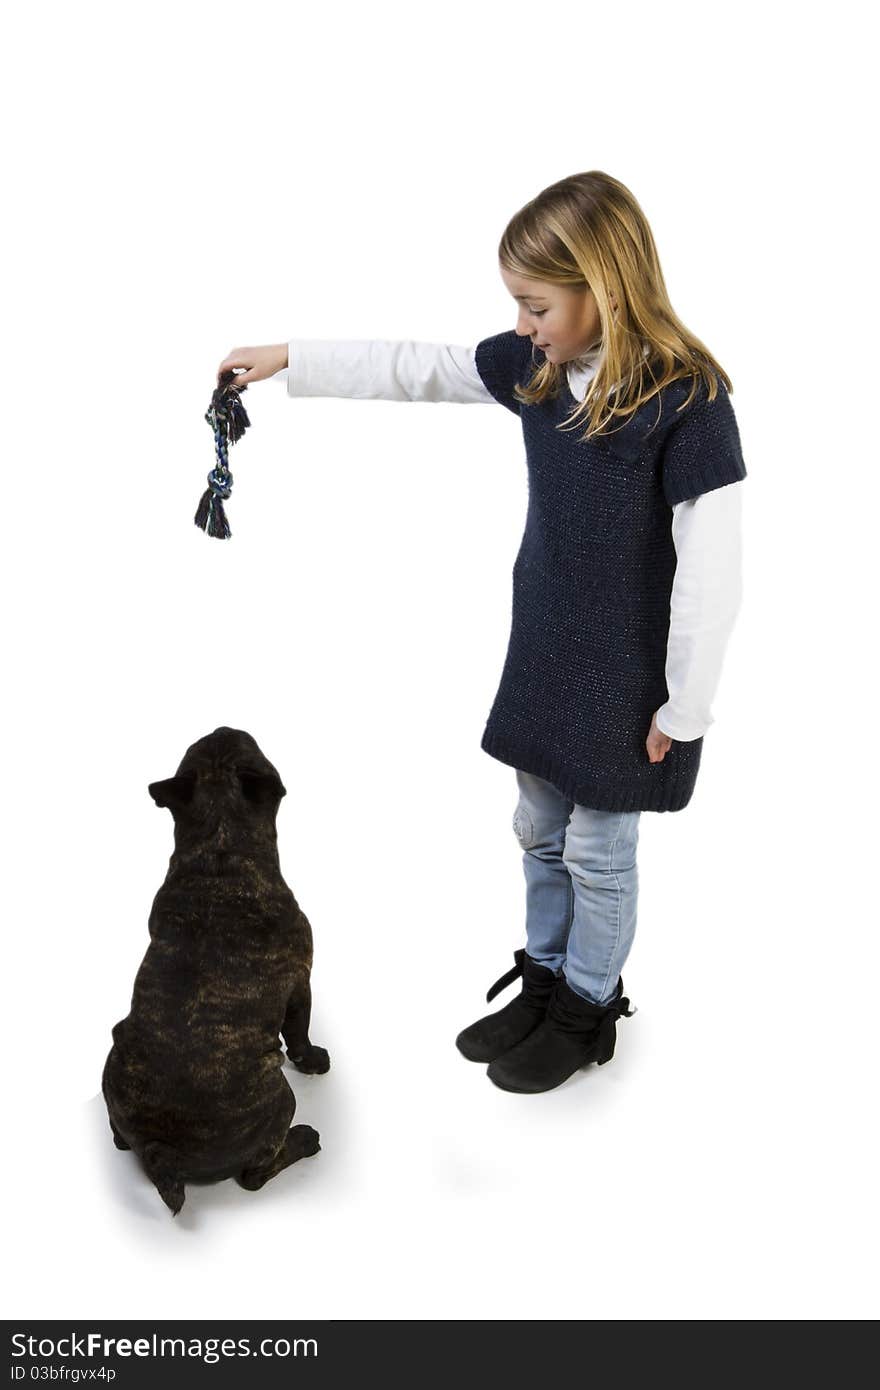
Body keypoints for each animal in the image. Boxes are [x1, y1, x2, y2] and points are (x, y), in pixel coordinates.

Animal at [99, 728, 326, 1217]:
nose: (225, 726)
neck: (220, 847)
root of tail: (161, 1148)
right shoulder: (301, 980)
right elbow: (300, 1031)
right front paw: (314, 1059)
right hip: (281, 1100)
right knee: (254, 1176)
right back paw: (304, 1140)